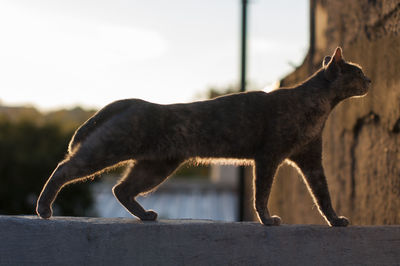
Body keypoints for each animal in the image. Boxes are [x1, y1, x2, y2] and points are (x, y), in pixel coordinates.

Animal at [36, 46, 370, 225]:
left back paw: (145, 216)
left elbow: (323, 196)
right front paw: (268, 219)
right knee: (65, 168)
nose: (369, 79)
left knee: (122, 189)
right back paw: (44, 209)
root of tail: (132, 101)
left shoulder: (311, 160)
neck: (318, 107)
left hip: (156, 167)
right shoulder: (268, 156)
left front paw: (336, 220)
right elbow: (262, 194)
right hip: (107, 150)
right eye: (357, 71)